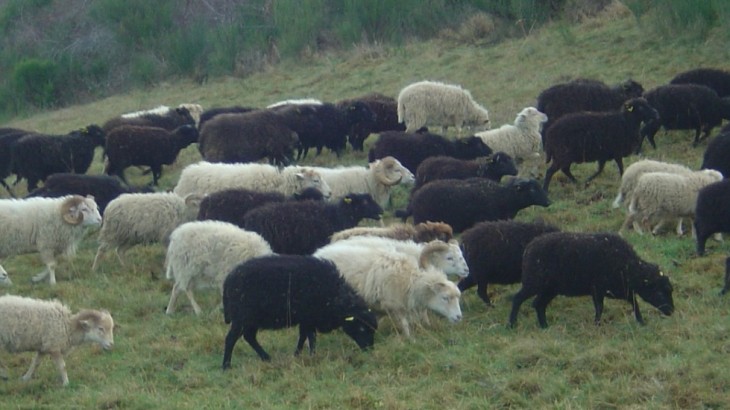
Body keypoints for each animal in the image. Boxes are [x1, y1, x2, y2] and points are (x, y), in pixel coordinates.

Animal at [222, 255, 377, 367]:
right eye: (362, 328)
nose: (369, 349)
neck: (335, 296)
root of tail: (229, 279)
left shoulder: (306, 319)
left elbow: (303, 337)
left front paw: (297, 355)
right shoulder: (309, 317)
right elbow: (311, 337)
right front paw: (312, 356)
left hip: (252, 319)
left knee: (249, 337)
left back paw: (266, 358)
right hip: (242, 317)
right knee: (231, 338)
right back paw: (226, 366)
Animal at [314, 240, 462, 338]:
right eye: (445, 298)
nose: (459, 317)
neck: (409, 279)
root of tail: (317, 253)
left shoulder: (379, 307)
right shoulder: (394, 305)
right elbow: (405, 324)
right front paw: (410, 340)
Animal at [509, 232, 674, 328]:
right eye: (660, 293)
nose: (671, 311)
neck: (628, 266)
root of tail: (529, 248)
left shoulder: (620, 290)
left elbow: (634, 302)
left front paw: (641, 322)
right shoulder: (597, 289)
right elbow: (600, 308)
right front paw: (597, 325)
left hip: (549, 289)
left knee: (538, 304)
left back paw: (545, 326)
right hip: (533, 283)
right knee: (518, 299)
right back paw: (512, 324)